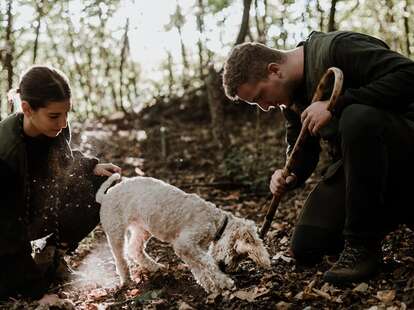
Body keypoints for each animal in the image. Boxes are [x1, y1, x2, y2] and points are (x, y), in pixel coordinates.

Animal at [97, 174, 272, 294]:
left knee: (135, 249)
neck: (216, 221)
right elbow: (207, 262)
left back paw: (154, 266)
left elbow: (198, 268)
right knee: (121, 259)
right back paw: (127, 281)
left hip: (143, 229)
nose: (228, 268)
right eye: (237, 254)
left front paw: (210, 286)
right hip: (116, 233)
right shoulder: (185, 244)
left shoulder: (188, 250)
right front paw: (224, 282)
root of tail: (106, 195)